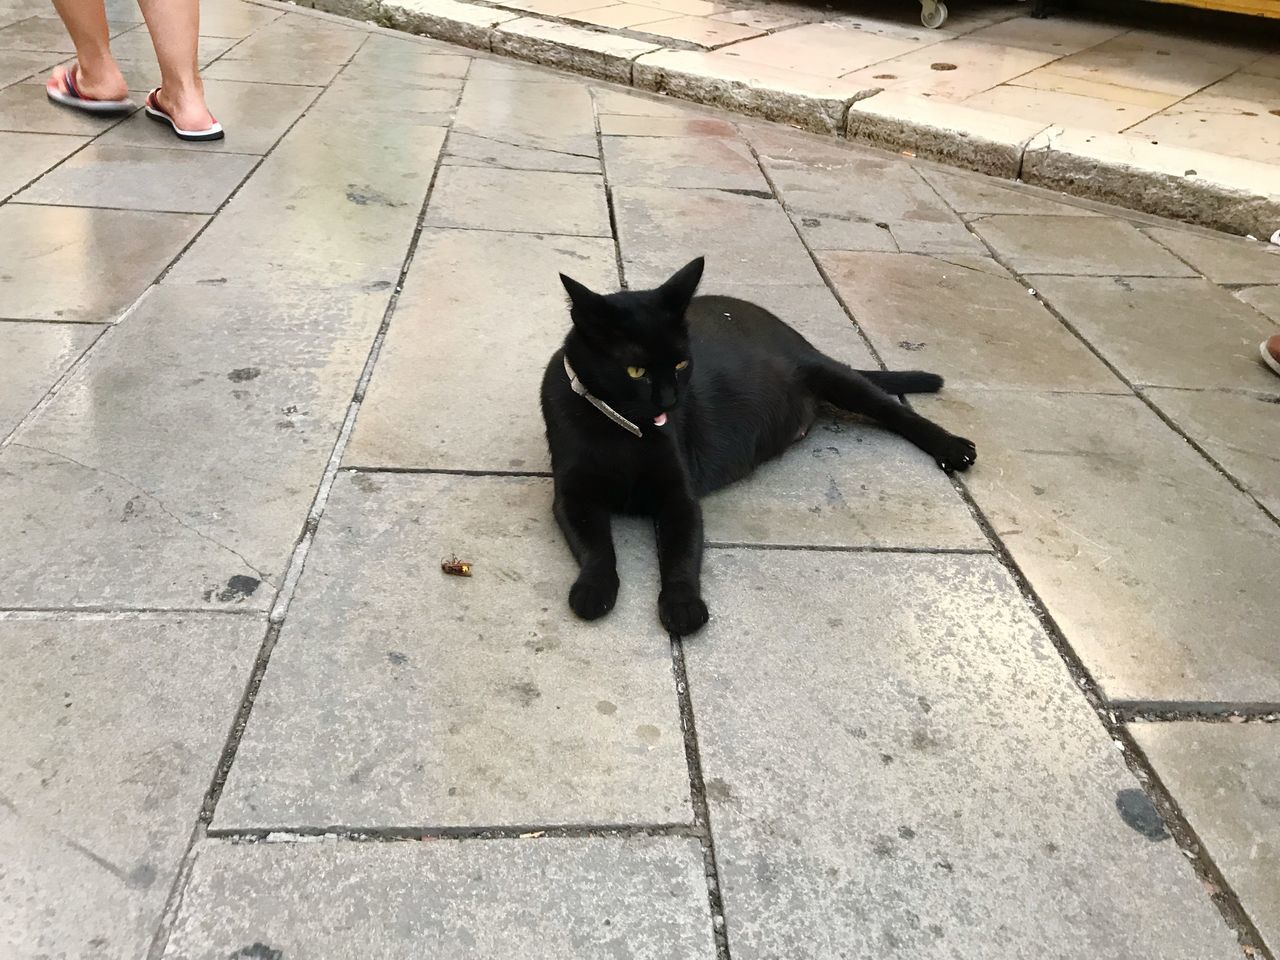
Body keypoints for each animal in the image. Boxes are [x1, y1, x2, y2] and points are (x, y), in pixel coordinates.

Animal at [535, 261, 972, 640]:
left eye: (680, 364)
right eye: (636, 372)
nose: (672, 400)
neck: (622, 431)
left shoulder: (679, 498)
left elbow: (680, 555)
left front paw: (683, 605)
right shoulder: (572, 496)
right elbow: (596, 547)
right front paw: (593, 589)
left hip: (833, 375)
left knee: (894, 410)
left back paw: (952, 447)